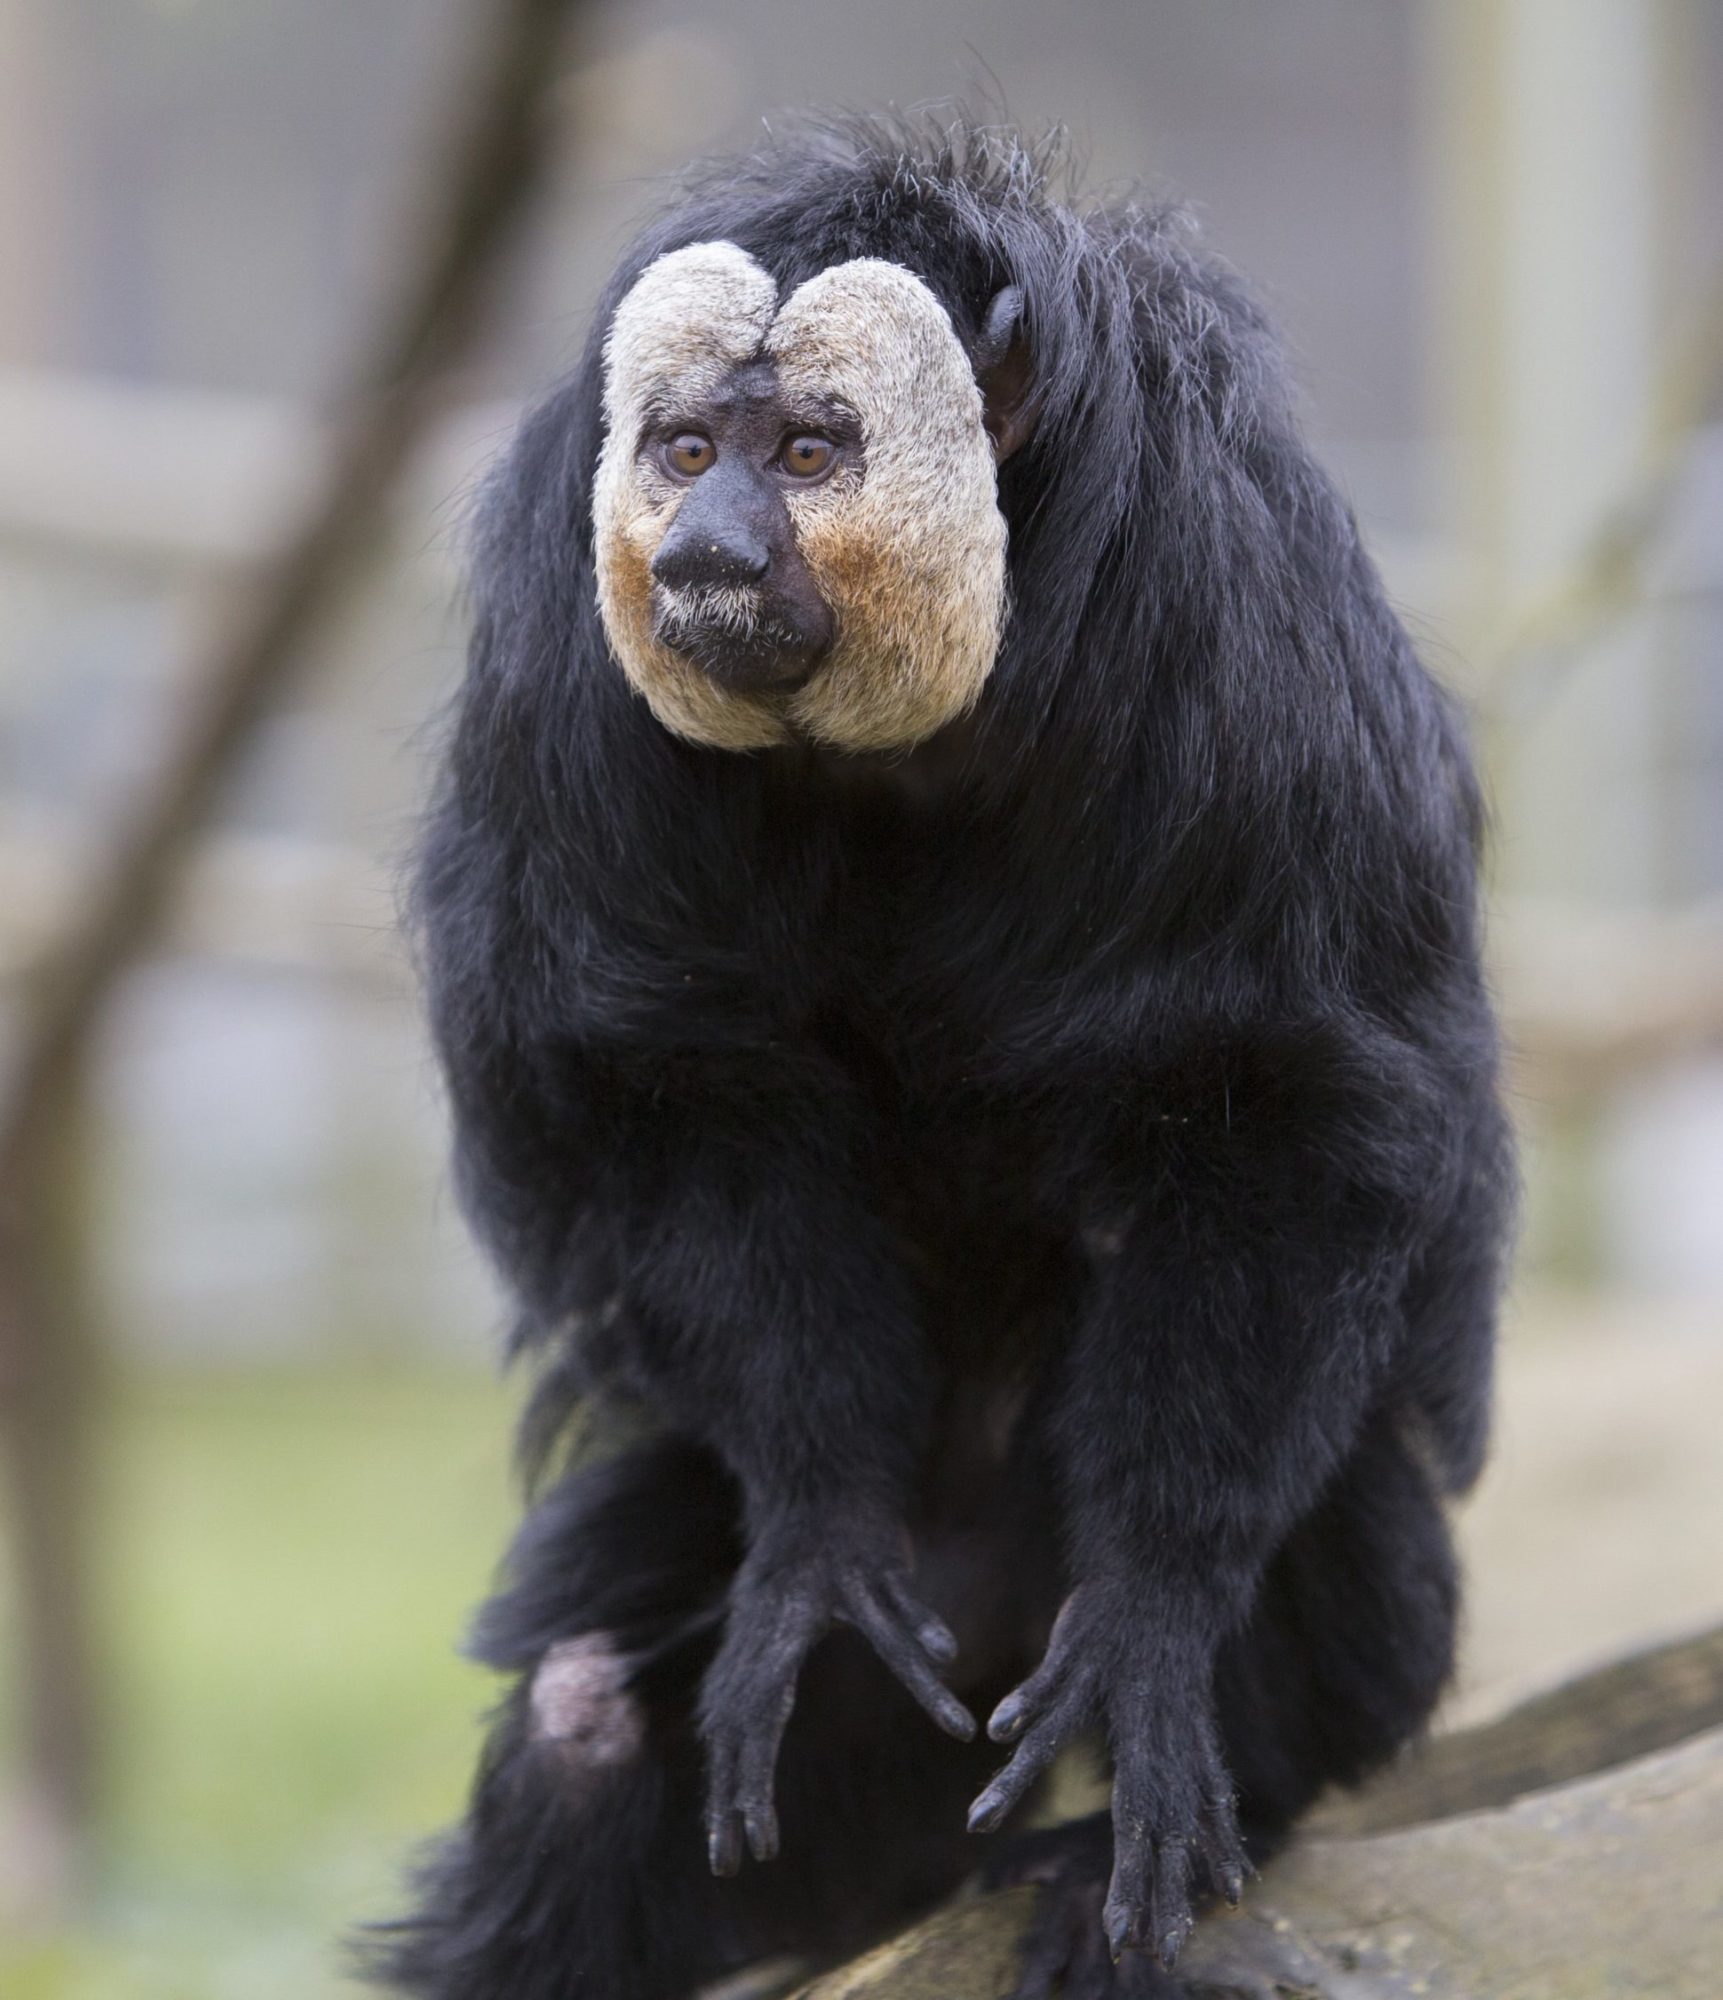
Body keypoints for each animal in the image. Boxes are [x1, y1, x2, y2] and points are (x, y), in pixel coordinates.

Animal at [371, 117, 1519, 2000]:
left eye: (807, 451)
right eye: (683, 449)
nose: (701, 549)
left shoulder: (1227, 600)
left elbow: (1281, 1102)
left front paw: (1150, 1615)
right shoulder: (569, 632)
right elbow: (664, 1089)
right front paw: (815, 1545)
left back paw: (1165, 1835)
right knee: (586, 1703)